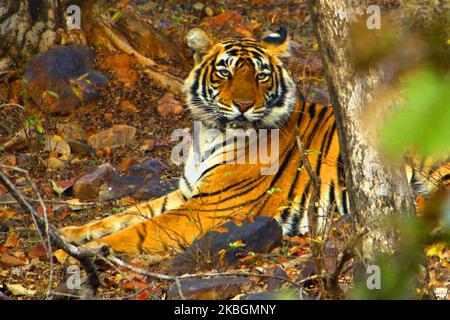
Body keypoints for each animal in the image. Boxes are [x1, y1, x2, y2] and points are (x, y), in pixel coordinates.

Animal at [59, 26, 450, 255]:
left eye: (261, 76)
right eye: (225, 72)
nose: (244, 105)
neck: (210, 133)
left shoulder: (209, 207)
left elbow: (138, 230)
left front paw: (78, 253)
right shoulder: (188, 192)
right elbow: (126, 214)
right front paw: (72, 232)